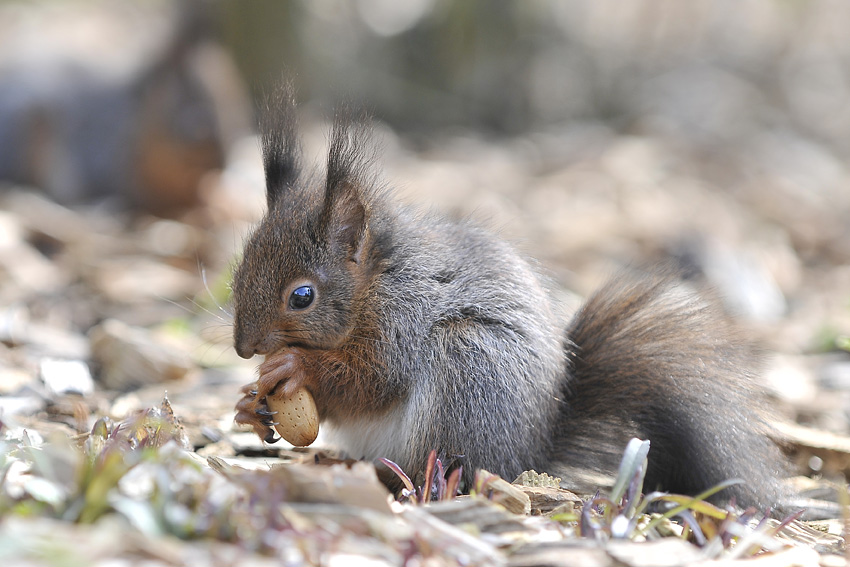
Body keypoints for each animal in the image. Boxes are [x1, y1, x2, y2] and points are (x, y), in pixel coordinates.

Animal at [230, 86, 788, 512]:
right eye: (238, 269)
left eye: (302, 296)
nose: (242, 347)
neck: (376, 283)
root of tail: (529, 456)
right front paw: (247, 405)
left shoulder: (402, 323)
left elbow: (370, 381)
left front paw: (297, 367)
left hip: (468, 369)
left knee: (440, 468)